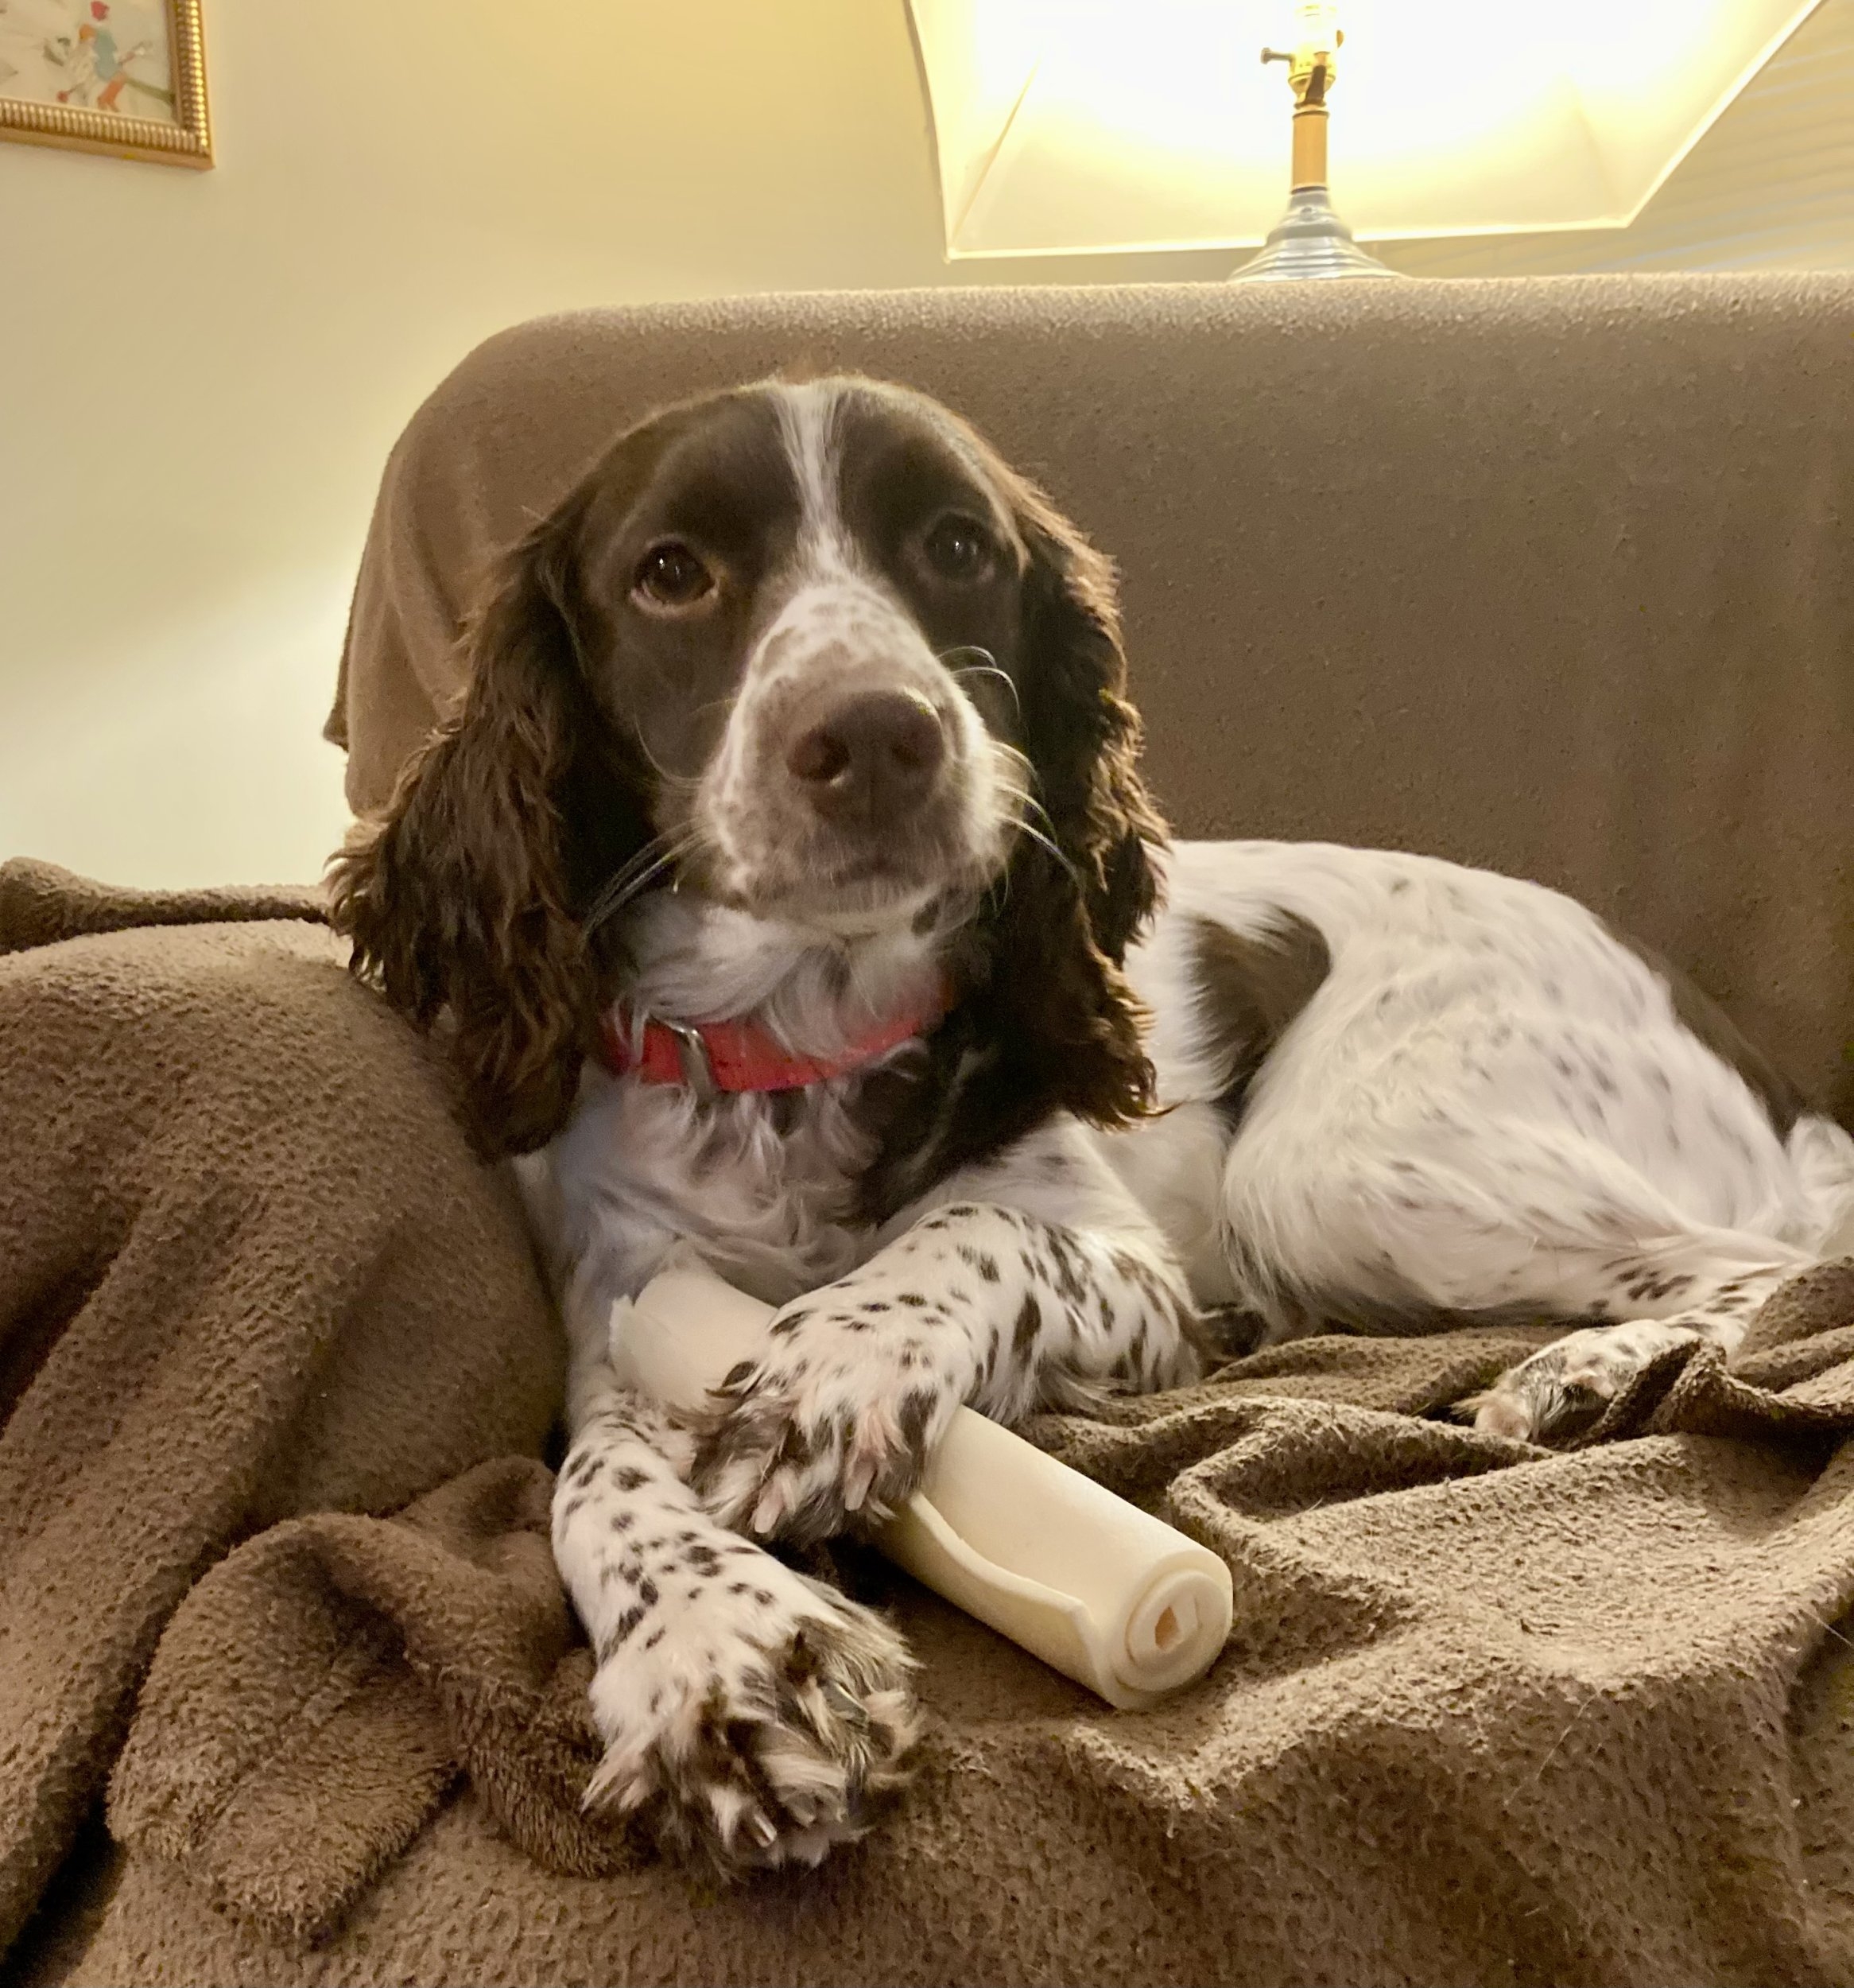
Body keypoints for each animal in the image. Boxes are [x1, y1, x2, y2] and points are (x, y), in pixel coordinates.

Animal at [328, 374, 1854, 1878]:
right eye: (669, 573)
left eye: (954, 547)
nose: (876, 734)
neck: (801, 1052)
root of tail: (1761, 1073)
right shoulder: (621, 1313)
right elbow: (597, 1484)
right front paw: (726, 1654)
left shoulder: (1136, 1274)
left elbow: (973, 1232)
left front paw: (833, 1366)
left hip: (1329, 1167)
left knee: (1765, 1271)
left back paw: (1585, 1374)